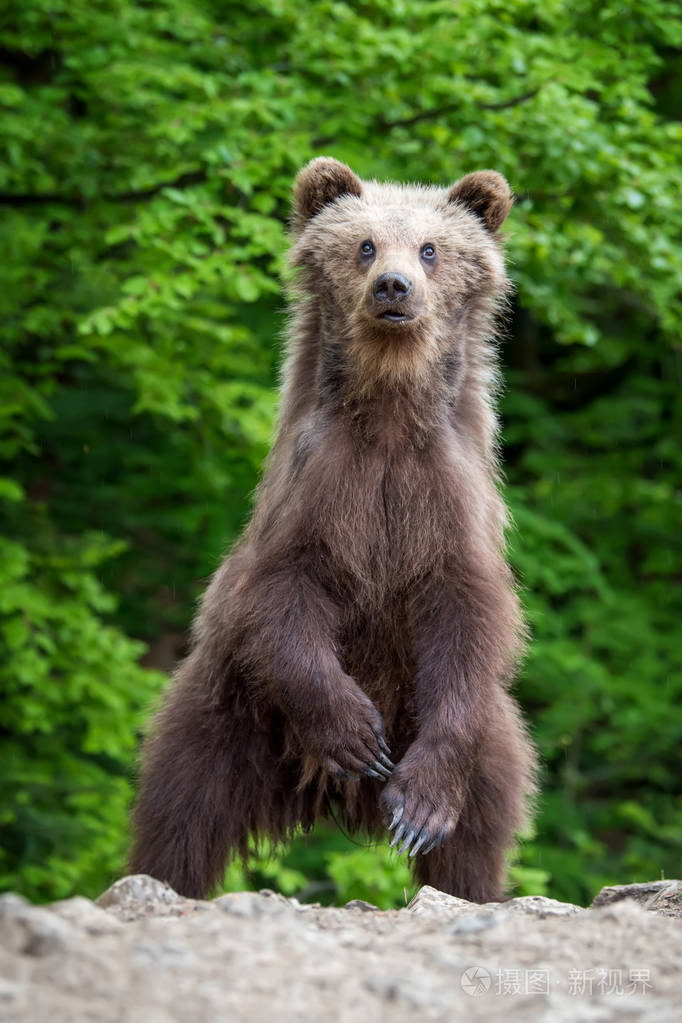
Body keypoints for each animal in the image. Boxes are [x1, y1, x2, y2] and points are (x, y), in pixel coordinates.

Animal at [129, 155, 539, 900]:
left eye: (431, 249)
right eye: (365, 245)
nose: (394, 287)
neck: (388, 420)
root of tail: (324, 797)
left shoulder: (446, 508)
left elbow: (468, 619)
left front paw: (421, 809)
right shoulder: (316, 494)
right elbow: (282, 598)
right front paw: (354, 734)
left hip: (489, 740)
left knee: (479, 831)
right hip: (225, 715)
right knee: (182, 813)